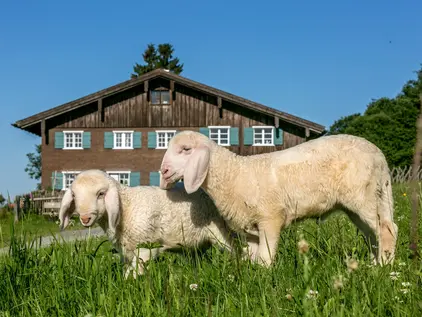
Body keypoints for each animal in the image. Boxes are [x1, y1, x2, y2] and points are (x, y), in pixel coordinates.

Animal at [57, 168, 241, 276]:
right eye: (73, 195)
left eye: (101, 194)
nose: (85, 218)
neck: (127, 205)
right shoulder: (126, 251)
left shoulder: (145, 247)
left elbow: (133, 273)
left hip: (221, 232)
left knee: (236, 251)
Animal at [158, 130, 398, 266]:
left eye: (186, 149)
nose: (164, 171)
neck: (233, 174)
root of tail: (380, 156)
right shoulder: (251, 229)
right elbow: (254, 258)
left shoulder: (270, 218)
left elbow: (266, 257)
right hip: (364, 202)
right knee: (373, 234)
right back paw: (372, 265)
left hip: (364, 196)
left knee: (387, 230)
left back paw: (384, 268)